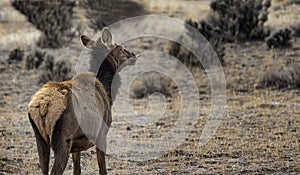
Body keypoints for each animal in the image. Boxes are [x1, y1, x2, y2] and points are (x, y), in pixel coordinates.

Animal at [28, 28, 136, 174]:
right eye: (119, 48)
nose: (133, 55)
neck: (108, 90)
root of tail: (43, 105)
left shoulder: (76, 145)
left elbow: (77, 170)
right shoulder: (102, 133)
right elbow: (102, 169)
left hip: (40, 140)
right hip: (62, 140)